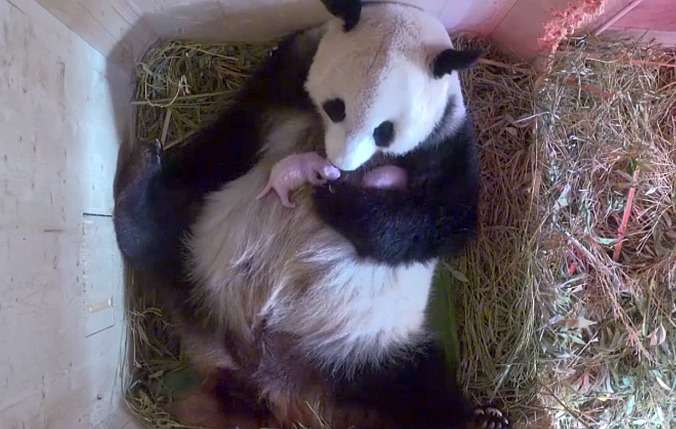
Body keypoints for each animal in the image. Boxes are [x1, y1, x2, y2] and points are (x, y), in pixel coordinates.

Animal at [113, 1, 511, 429]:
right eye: (337, 108)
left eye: (384, 131)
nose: (338, 165)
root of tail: (262, 378)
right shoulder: (286, 74)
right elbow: (231, 138)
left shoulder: (448, 140)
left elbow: (445, 218)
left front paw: (336, 200)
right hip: (203, 260)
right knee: (165, 242)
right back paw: (140, 190)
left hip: (366, 350)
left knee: (422, 391)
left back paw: (480, 418)